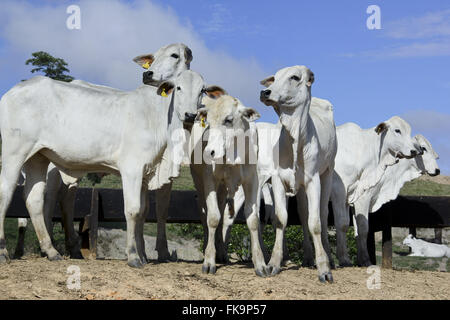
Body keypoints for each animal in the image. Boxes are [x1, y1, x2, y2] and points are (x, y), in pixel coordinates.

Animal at [0, 69, 209, 268]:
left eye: (202, 91)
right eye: (179, 88)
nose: (191, 115)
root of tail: (13, 91)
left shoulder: (143, 174)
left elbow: (142, 211)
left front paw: (141, 256)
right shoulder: (132, 169)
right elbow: (132, 210)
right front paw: (133, 256)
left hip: (38, 157)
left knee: (34, 199)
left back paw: (51, 251)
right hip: (14, 152)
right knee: (5, 192)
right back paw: (4, 251)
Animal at [191, 92, 268, 276]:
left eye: (228, 120)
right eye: (208, 122)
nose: (209, 152)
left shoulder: (252, 181)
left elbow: (253, 220)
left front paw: (260, 264)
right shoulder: (210, 180)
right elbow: (212, 218)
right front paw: (209, 260)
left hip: (223, 190)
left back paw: (221, 253)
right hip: (201, 184)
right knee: (206, 216)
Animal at [258, 65, 336, 282]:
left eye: (294, 77)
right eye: (274, 78)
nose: (265, 92)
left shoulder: (313, 180)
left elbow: (315, 222)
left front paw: (324, 268)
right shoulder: (278, 180)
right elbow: (281, 218)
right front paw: (274, 263)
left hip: (327, 173)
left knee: (323, 214)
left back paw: (328, 257)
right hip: (299, 187)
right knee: (303, 213)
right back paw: (308, 256)